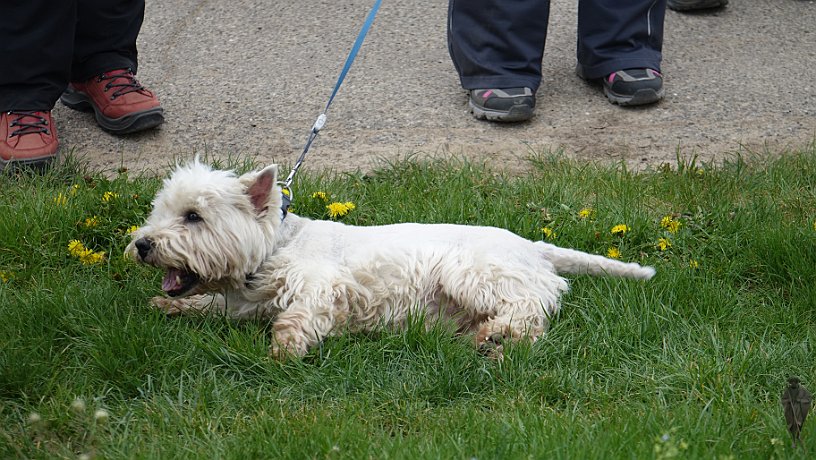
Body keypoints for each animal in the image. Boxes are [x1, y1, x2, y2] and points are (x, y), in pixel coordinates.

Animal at [127, 162, 656, 360]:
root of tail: (532, 245)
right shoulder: (247, 303)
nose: (143, 244)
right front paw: (168, 304)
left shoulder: (321, 284)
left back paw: (495, 335)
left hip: (471, 271)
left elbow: (301, 315)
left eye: (193, 216)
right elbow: (214, 305)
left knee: (533, 307)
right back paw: (484, 339)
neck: (276, 247)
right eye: (160, 211)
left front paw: (283, 350)